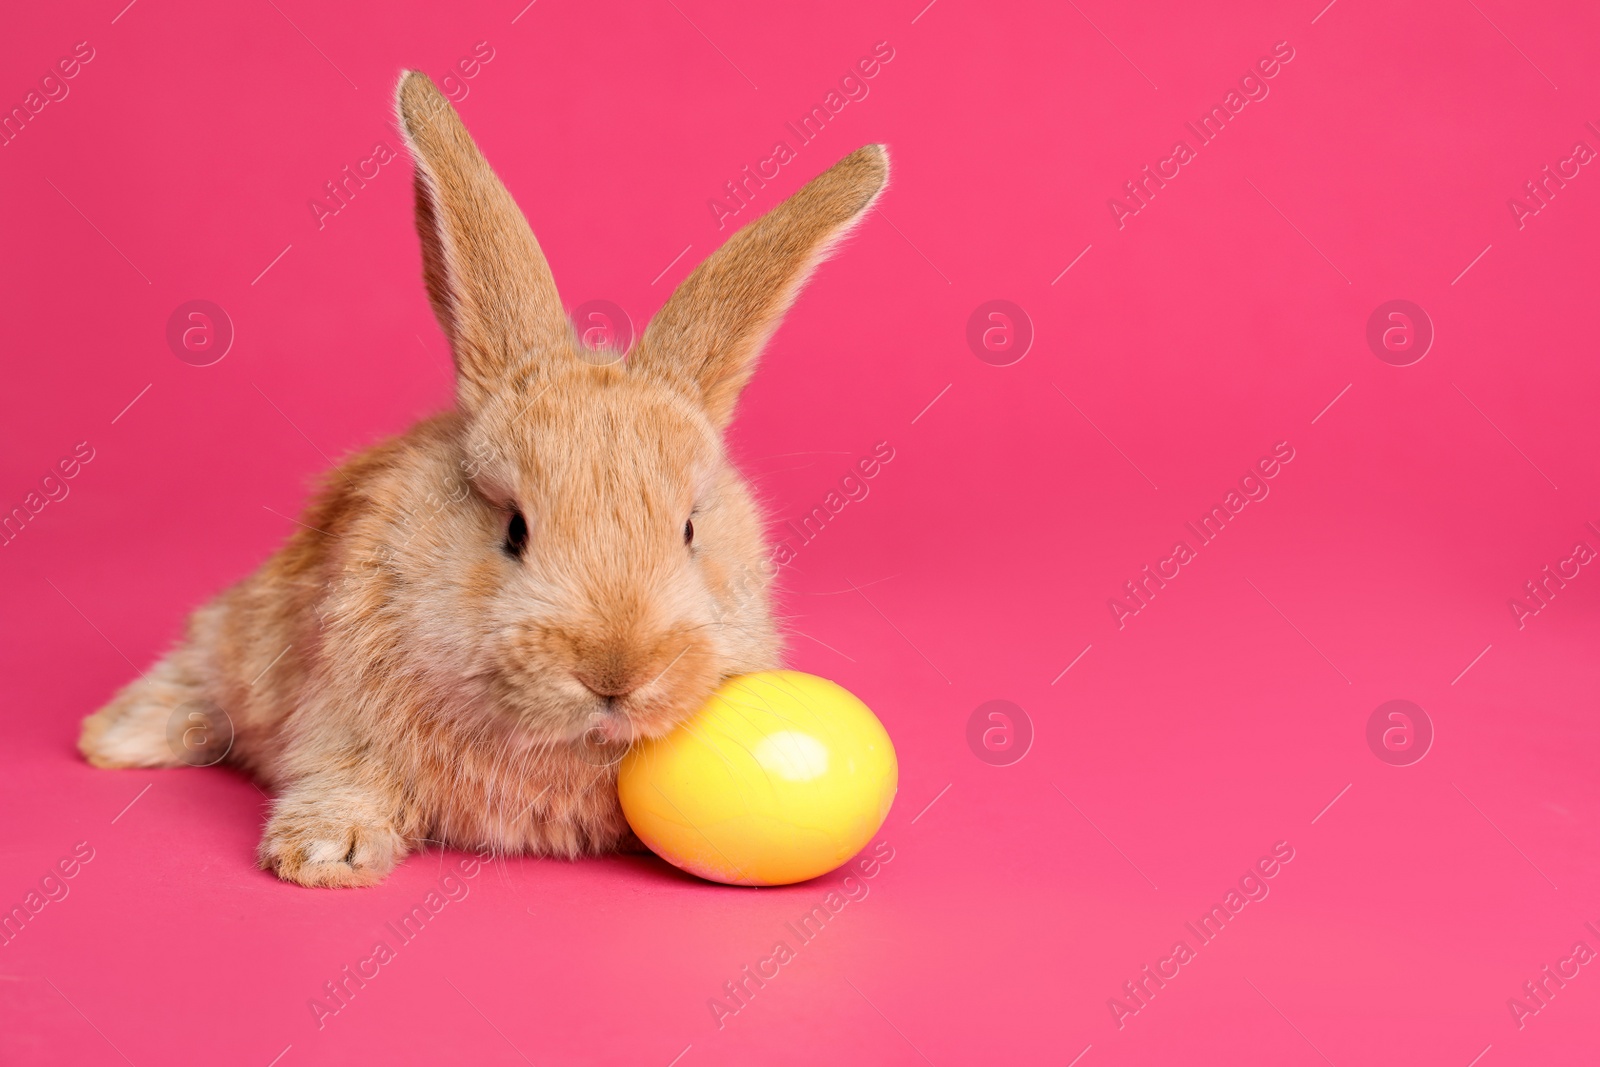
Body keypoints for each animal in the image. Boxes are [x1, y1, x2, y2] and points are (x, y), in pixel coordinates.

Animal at [78, 70, 889, 889]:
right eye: (514, 529)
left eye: (690, 528)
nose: (616, 672)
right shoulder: (338, 710)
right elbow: (345, 772)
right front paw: (324, 855)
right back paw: (117, 736)